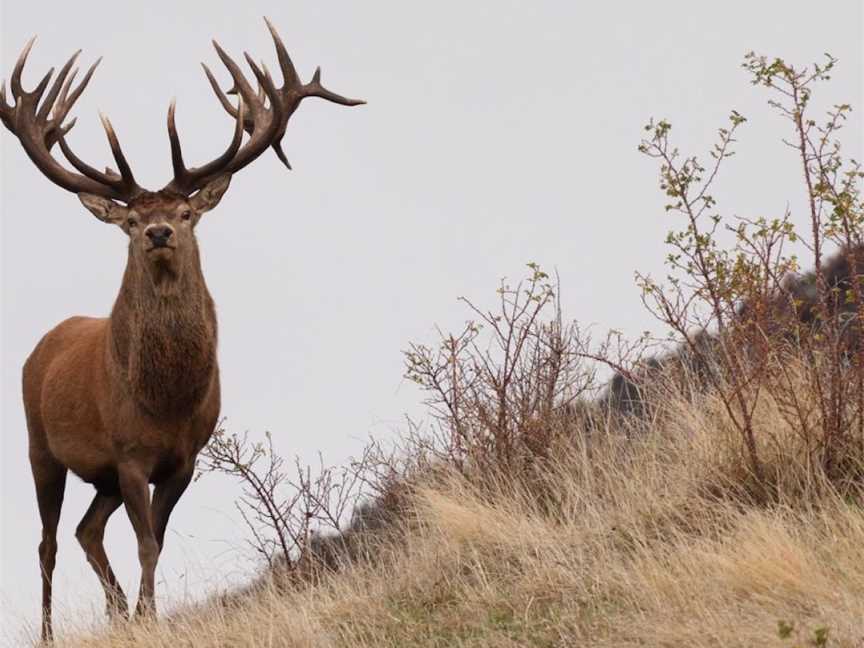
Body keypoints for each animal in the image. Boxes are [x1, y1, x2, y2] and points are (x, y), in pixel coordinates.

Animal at [0, 17, 362, 640]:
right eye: (130, 221)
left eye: (187, 212)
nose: (159, 232)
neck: (165, 400)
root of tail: (41, 344)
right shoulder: (127, 453)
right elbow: (145, 543)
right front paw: (146, 617)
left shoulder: (183, 459)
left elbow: (157, 542)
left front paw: (144, 615)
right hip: (39, 445)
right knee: (47, 541)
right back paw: (48, 632)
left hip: (99, 478)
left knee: (86, 530)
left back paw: (117, 611)